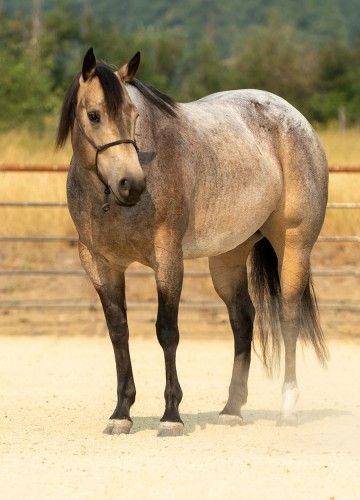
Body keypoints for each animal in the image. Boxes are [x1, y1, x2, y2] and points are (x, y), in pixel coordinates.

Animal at [56, 47, 330, 438]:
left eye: (134, 115)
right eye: (94, 115)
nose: (131, 184)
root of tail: (295, 118)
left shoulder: (168, 259)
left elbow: (167, 331)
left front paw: (171, 415)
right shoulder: (99, 264)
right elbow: (119, 332)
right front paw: (121, 413)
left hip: (294, 245)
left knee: (289, 317)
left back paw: (288, 409)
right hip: (228, 257)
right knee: (243, 318)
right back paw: (231, 409)